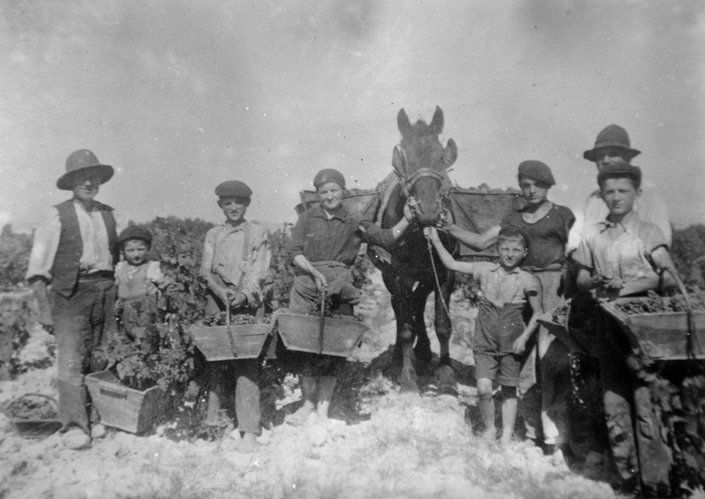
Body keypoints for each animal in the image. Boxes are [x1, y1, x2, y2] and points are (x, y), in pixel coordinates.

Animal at [372, 106, 460, 394]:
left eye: (442, 157)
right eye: (404, 158)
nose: (428, 211)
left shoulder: (446, 272)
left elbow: (443, 323)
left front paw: (446, 373)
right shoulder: (398, 275)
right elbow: (405, 326)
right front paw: (408, 378)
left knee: (417, 302)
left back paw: (422, 350)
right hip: (390, 276)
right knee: (401, 310)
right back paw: (400, 357)